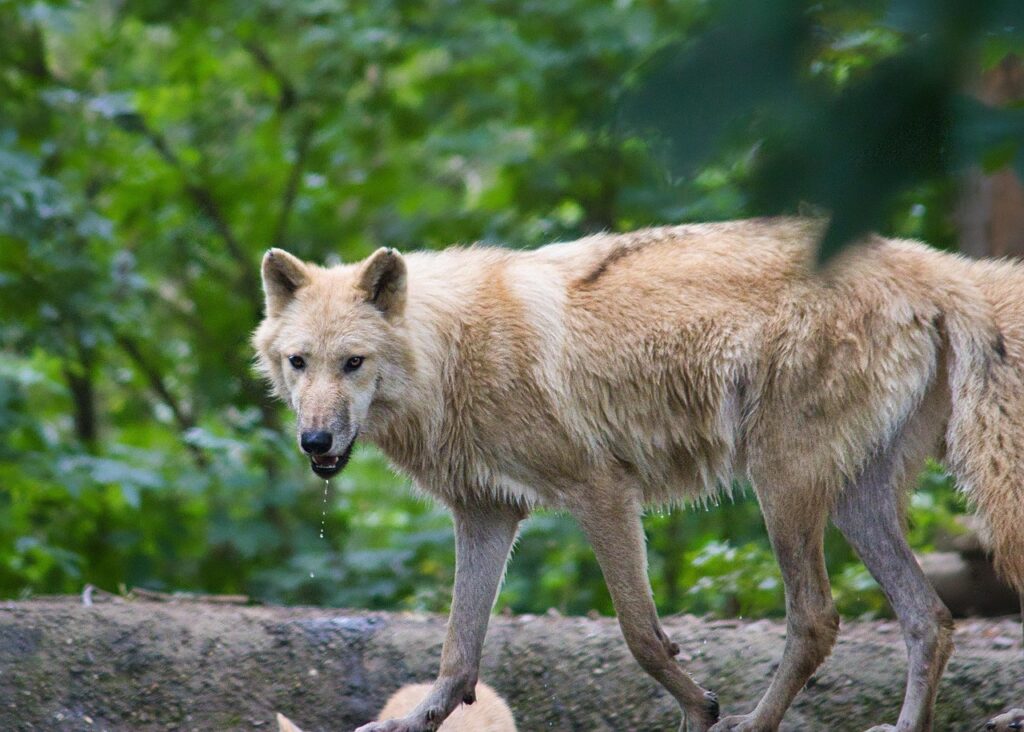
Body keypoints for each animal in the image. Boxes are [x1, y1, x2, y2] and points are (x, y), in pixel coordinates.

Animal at [254, 218, 1024, 732]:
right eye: (299, 362)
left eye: (352, 363)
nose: (314, 440)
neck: (451, 350)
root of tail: (932, 267)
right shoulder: (487, 515)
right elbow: (457, 653)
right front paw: (411, 722)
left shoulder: (602, 491)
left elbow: (641, 635)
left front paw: (701, 708)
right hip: (852, 504)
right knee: (930, 619)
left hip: (780, 486)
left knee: (817, 619)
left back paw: (751, 722)